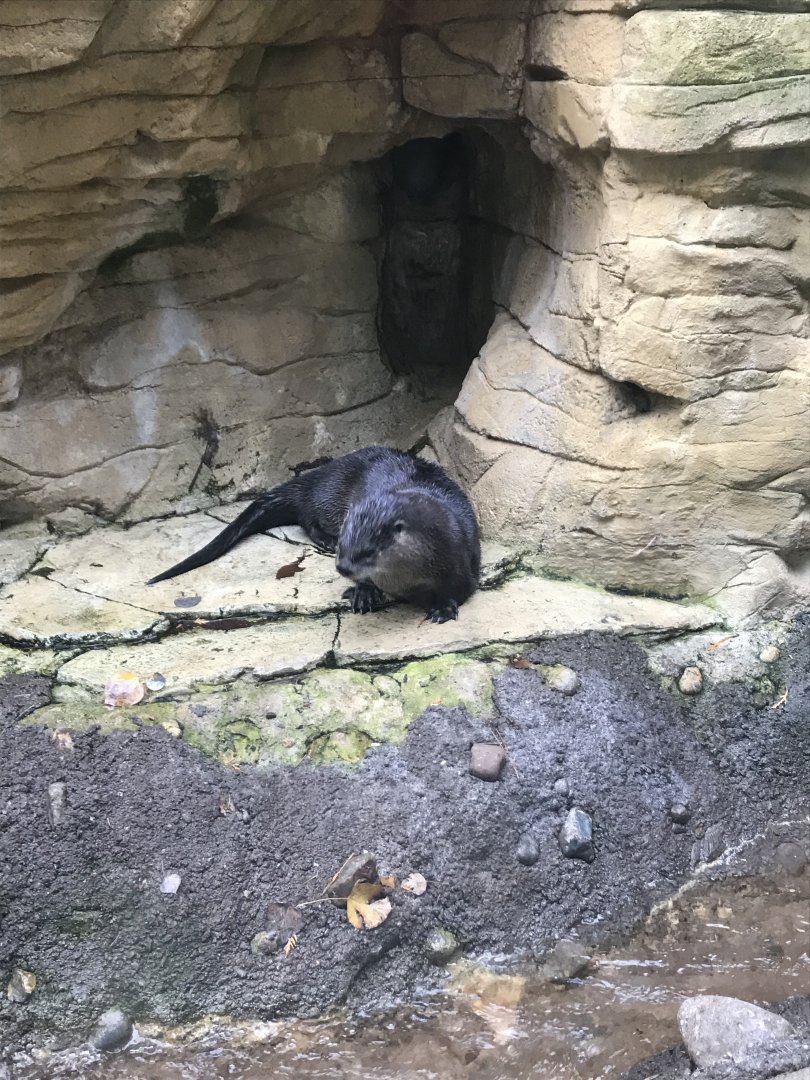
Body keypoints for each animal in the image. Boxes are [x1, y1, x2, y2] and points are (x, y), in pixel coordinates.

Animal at [147, 447, 480, 623]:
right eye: (345, 546)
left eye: (368, 551)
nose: (342, 566)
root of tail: (316, 477)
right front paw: (363, 593)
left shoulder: (461, 559)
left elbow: (460, 590)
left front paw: (442, 607)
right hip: (328, 498)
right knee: (306, 516)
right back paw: (323, 539)